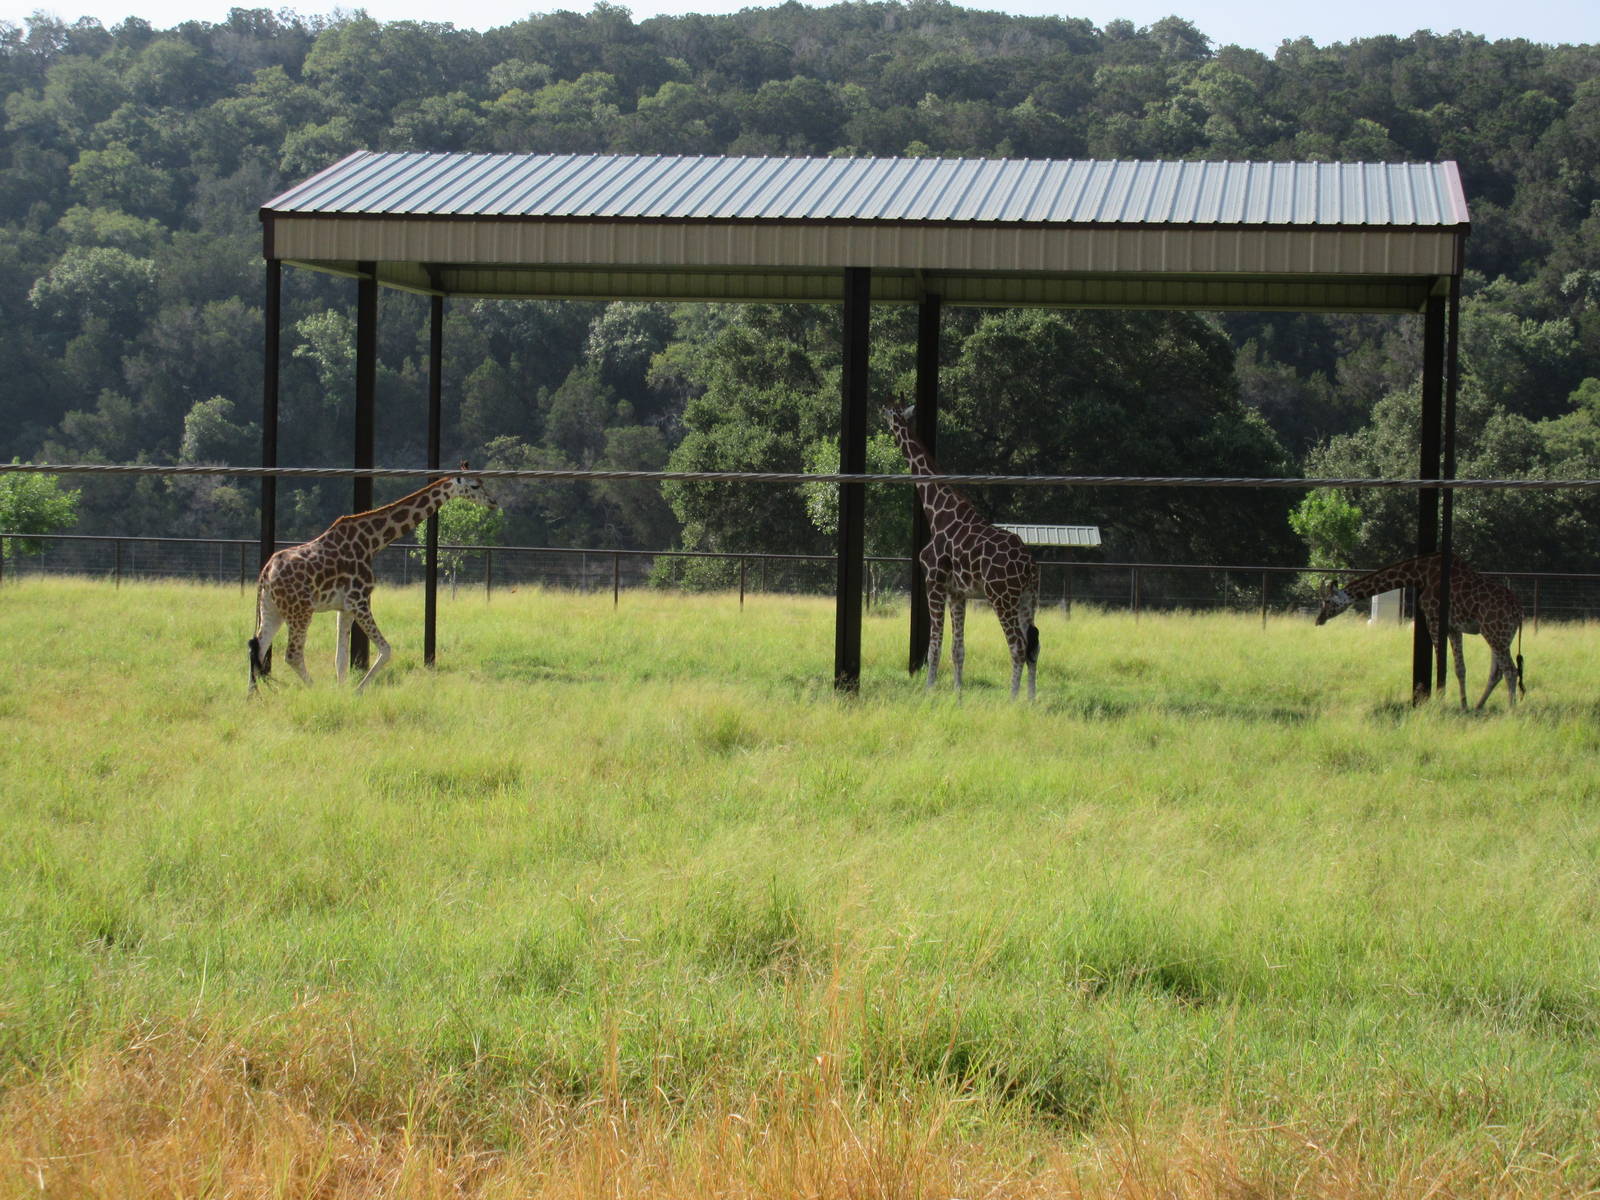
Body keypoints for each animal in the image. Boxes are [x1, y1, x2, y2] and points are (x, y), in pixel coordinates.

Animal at [248, 464, 494, 695]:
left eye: (483, 482)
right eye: (475, 486)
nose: (493, 501)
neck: (371, 542)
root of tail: (266, 573)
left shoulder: (344, 607)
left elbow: (341, 658)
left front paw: (342, 692)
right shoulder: (359, 600)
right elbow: (386, 650)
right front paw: (356, 691)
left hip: (272, 609)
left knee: (258, 646)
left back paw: (253, 698)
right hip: (301, 610)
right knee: (292, 654)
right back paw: (313, 689)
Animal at [884, 403, 1041, 699]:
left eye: (890, 416)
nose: (884, 418)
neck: (938, 512)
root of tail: (1030, 565)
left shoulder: (933, 582)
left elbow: (934, 646)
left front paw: (929, 691)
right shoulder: (959, 592)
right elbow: (958, 649)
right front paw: (958, 694)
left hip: (1002, 597)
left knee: (1017, 646)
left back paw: (1013, 699)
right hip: (1028, 597)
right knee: (1033, 645)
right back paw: (1031, 699)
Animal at [1315, 551, 1524, 710]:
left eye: (1327, 601)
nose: (1319, 620)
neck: (1420, 573)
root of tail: (1518, 611)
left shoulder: (1434, 619)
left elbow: (1442, 664)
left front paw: (1441, 703)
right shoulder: (1453, 628)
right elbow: (1460, 668)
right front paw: (1464, 706)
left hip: (1495, 633)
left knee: (1511, 670)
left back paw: (1511, 711)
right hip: (1500, 636)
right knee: (1497, 672)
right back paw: (1479, 706)